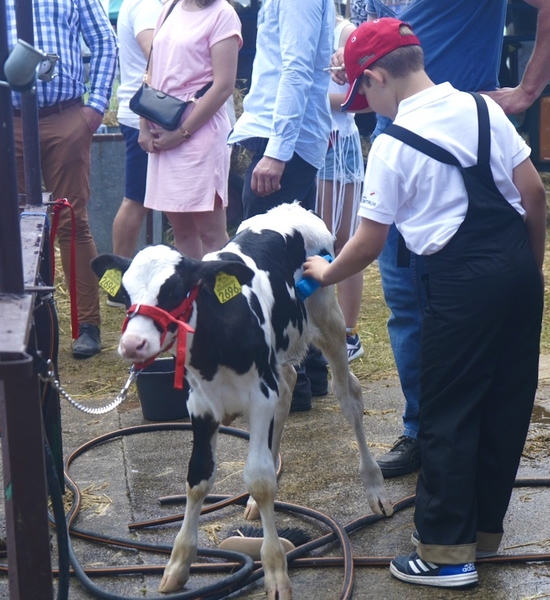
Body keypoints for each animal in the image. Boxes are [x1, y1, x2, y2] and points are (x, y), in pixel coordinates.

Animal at [91, 203, 392, 600]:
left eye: (174, 290)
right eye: (125, 294)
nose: (132, 344)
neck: (216, 338)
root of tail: (292, 207)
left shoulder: (259, 394)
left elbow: (261, 478)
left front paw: (276, 571)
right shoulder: (201, 405)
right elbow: (198, 476)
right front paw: (177, 565)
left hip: (328, 316)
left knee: (349, 396)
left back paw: (376, 489)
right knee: (289, 385)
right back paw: (250, 505)